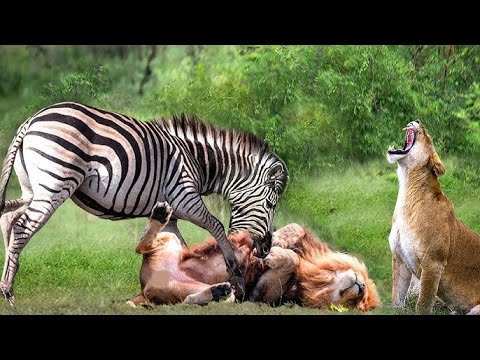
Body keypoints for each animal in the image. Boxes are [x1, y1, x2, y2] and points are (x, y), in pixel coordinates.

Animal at [0, 101, 288, 304]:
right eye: (271, 205)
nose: (266, 249)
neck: (198, 161)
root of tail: (32, 120)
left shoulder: (170, 213)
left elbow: (178, 244)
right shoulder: (184, 197)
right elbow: (216, 225)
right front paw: (235, 275)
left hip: (31, 189)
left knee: (8, 219)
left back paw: (5, 282)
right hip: (55, 183)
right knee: (22, 227)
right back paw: (9, 291)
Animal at [127, 201, 378, 310]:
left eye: (358, 303)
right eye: (361, 297)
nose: (361, 287)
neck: (314, 277)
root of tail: (145, 287)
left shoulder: (260, 295)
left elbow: (291, 259)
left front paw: (273, 255)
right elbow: (294, 230)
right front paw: (277, 242)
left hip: (191, 289)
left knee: (188, 300)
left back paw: (217, 292)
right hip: (170, 241)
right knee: (142, 246)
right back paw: (160, 214)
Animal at [388, 119, 480, 314]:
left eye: (426, 134)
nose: (417, 120)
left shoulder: (433, 264)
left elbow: (422, 304)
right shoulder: (399, 259)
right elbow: (397, 297)